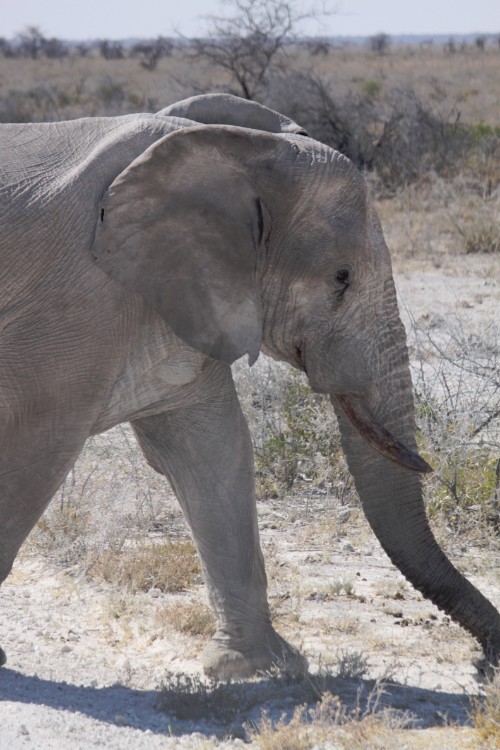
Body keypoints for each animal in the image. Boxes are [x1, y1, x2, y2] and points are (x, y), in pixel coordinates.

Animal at [0, 95, 500, 680]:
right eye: (341, 278)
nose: (487, 660)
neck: (241, 155)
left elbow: (213, 448)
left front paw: (257, 667)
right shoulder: (79, 299)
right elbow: (37, 447)